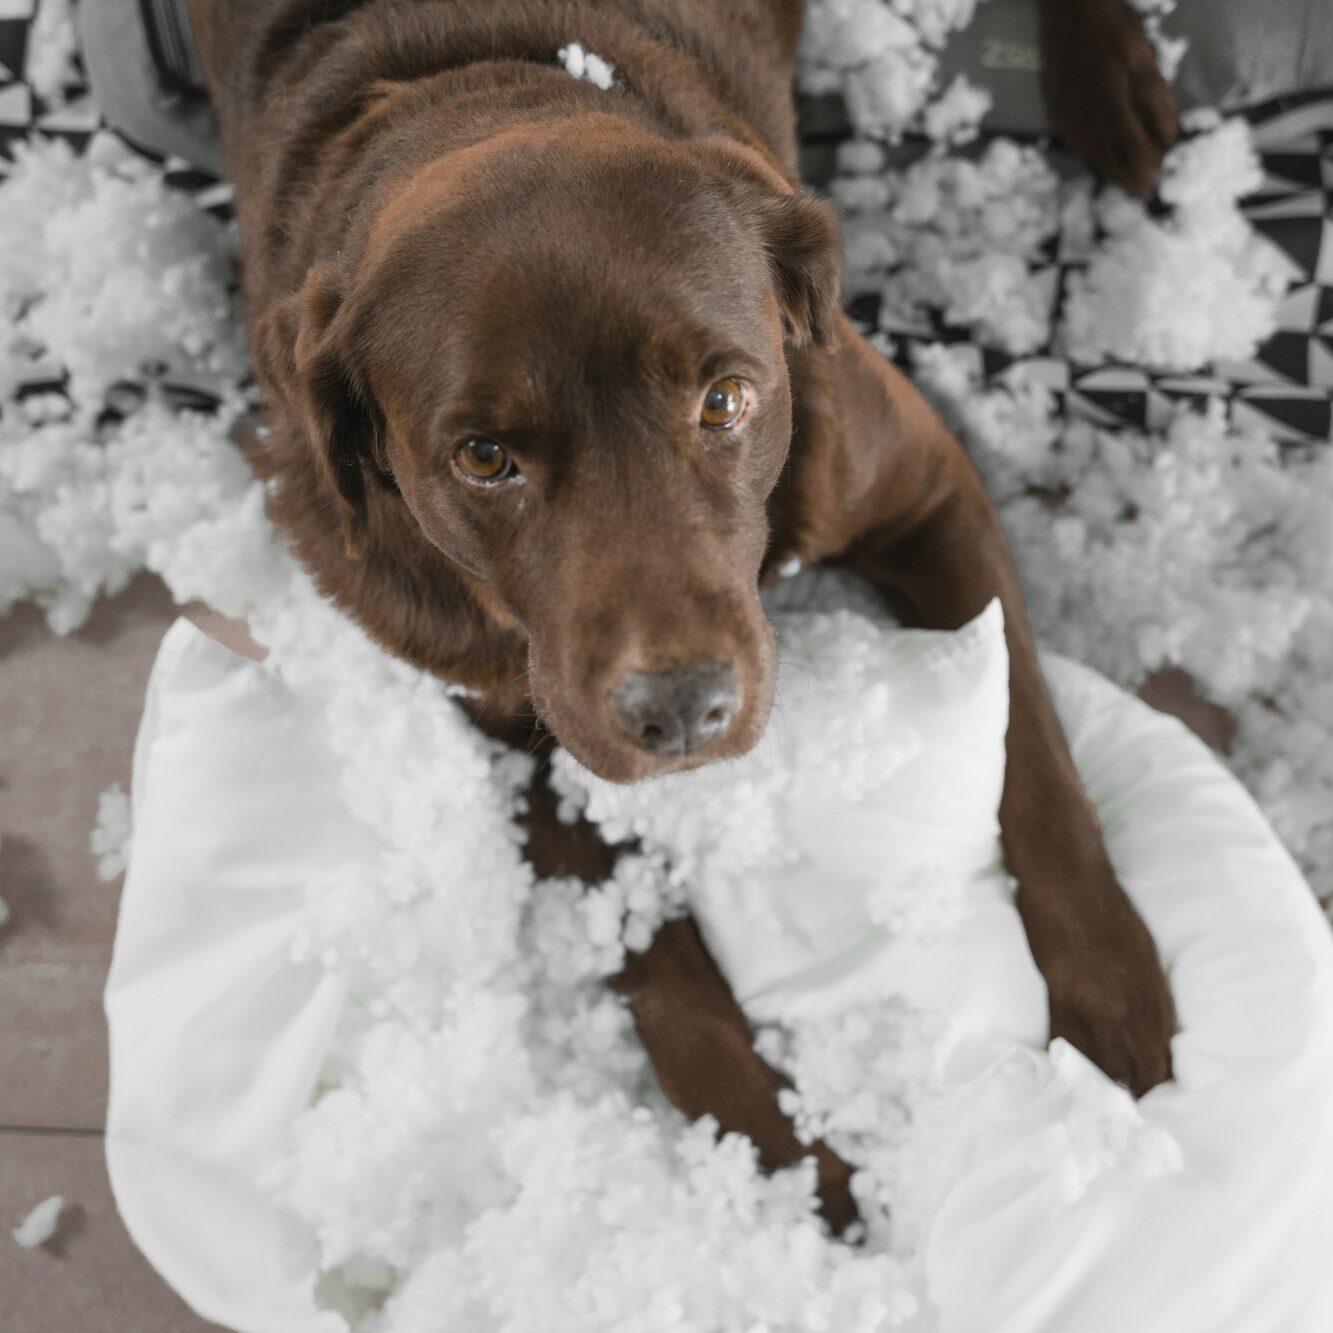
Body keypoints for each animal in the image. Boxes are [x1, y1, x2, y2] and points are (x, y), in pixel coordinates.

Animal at [190, 0, 1178, 1226]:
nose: (684, 711)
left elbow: (1026, 749)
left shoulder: (925, 484)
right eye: (483, 456)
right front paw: (781, 1166)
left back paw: (1110, 85)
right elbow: (655, 963)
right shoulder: (507, 712)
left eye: (726, 398)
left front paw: (1109, 982)